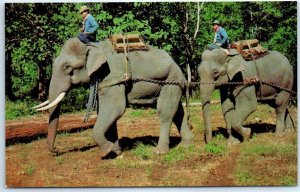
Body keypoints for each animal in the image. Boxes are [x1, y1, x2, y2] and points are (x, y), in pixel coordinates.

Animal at [34, 36, 193, 157]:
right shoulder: (104, 81)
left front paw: (106, 152)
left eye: (67, 67)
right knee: (178, 111)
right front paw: (115, 152)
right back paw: (185, 145)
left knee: (165, 111)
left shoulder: (112, 75)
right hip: (172, 81)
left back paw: (160, 152)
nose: (57, 150)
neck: (94, 46)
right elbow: (107, 113)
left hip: (171, 79)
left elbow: (115, 108)